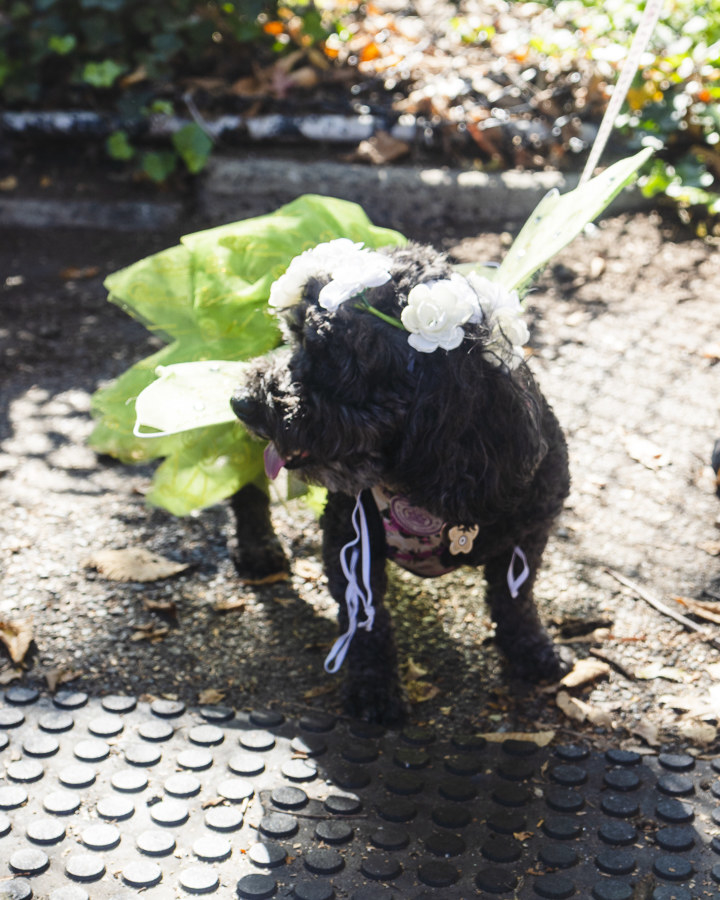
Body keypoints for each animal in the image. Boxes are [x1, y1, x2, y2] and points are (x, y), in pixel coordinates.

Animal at [233, 243, 572, 720]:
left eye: (325, 354)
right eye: (291, 337)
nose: (240, 402)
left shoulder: (529, 532)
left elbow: (516, 600)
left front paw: (531, 651)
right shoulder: (348, 538)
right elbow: (365, 620)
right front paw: (373, 690)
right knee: (245, 487)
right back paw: (257, 547)